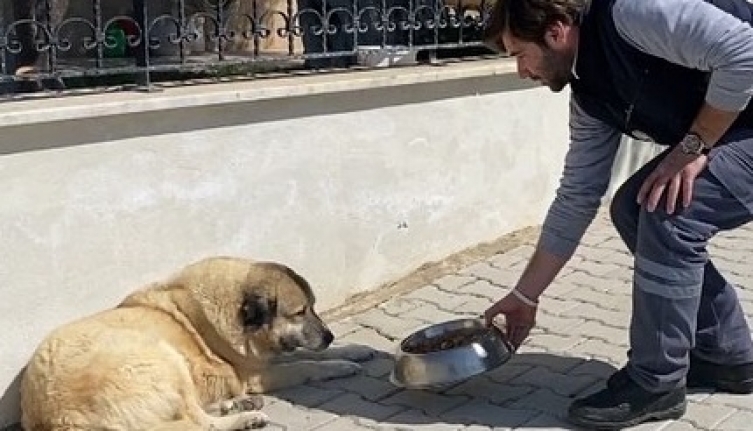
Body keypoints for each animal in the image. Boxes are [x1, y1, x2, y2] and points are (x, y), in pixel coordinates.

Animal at [17, 258, 370, 430]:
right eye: (299, 312)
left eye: (314, 307)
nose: (329, 336)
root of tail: (59, 420)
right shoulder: (256, 374)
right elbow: (306, 364)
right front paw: (339, 364)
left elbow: (308, 356)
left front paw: (356, 350)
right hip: (163, 356)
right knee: (198, 424)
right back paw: (246, 417)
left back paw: (236, 406)